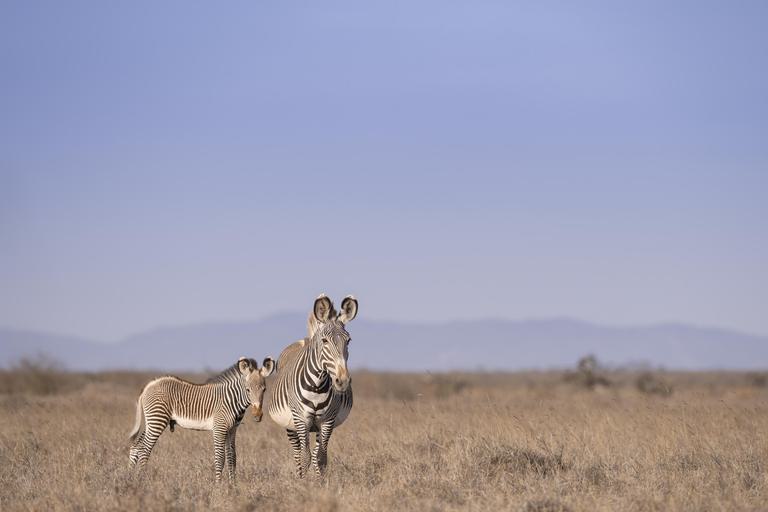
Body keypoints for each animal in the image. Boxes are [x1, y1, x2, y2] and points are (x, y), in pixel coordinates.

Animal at [128, 356, 275, 482]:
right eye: (248, 390)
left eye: (264, 390)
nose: (257, 415)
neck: (231, 400)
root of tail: (149, 386)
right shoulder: (219, 428)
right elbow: (220, 458)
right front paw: (218, 487)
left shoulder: (232, 430)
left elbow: (232, 458)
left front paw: (233, 486)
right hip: (157, 420)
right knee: (144, 450)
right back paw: (142, 481)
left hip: (152, 421)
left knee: (136, 447)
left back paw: (130, 480)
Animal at [266, 294, 358, 478]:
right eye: (324, 341)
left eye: (349, 341)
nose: (342, 381)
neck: (318, 386)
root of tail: (305, 339)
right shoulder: (301, 419)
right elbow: (305, 457)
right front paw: (303, 483)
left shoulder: (328, 420)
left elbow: (321, 458)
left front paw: (320, 483)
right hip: (291, 425)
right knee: (297, 453)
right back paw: (299, 475)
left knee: (316, 453)